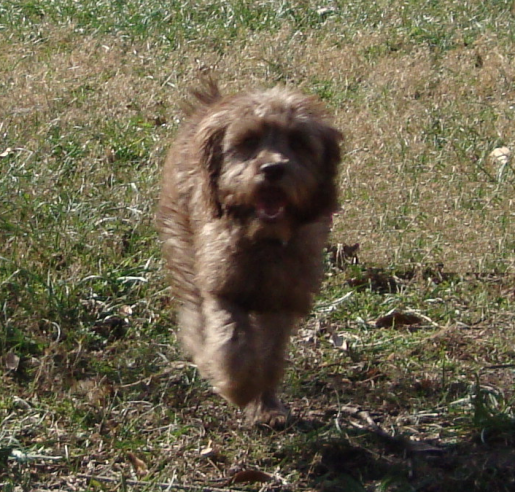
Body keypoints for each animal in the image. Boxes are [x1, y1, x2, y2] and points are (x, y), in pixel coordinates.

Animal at [157, 81, 342, 426]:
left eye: (298, 142)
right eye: (248, 141)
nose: (272, 169)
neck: (263, 241)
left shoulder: (282, 300)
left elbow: (270, 354)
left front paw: (266, 406)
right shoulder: (223, 287)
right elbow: (231, 341)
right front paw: (236, 387)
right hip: (184, 245)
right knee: (193, 315)